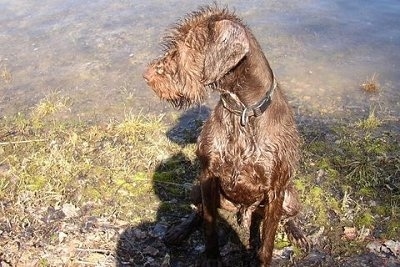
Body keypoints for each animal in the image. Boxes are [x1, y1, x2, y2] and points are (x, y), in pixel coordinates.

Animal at [144, 5, 310, 266]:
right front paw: (212, 258)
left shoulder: (276, 190)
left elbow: (267, 243)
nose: (148, 74)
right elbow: (209, 227)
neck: (242, 112)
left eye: (188, 44)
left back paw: (296, 232)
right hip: (196, 188)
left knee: (285, 217)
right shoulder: (208, 175)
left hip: (290, 196)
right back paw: (180, 230)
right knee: (198, 212)